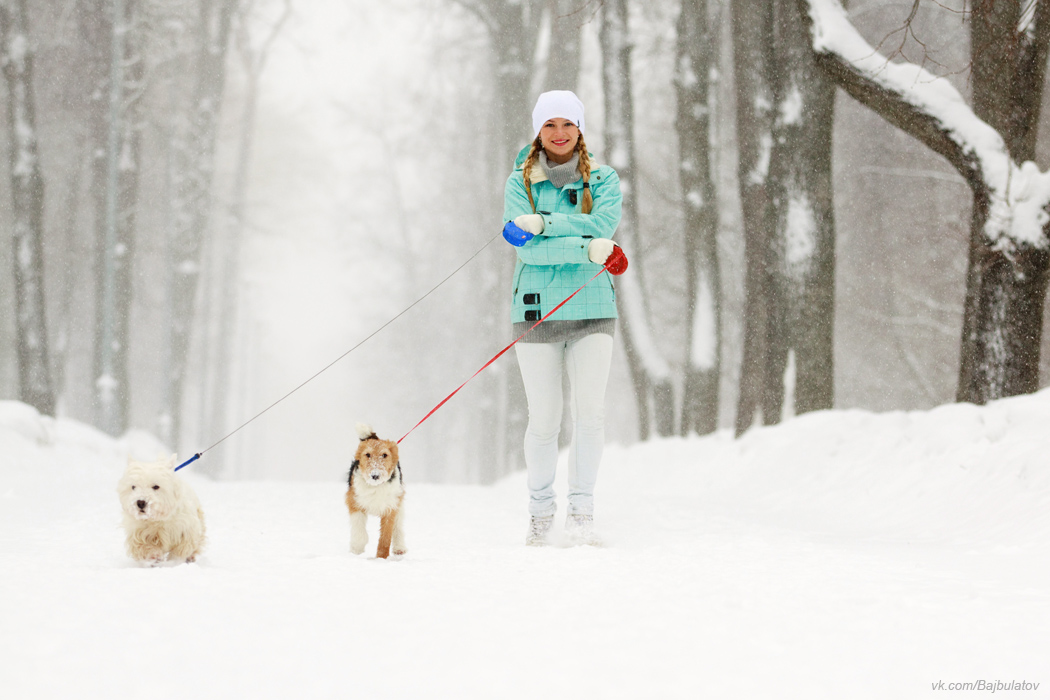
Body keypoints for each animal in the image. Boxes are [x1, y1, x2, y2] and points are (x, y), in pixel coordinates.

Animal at [346, 423, 407, 562]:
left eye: (384, 455)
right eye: (367, 454)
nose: (375, 475)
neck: (376, 487)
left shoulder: (390, 507)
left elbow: (385, 537)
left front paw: (381, 559)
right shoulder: (355, 501)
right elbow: (359, 530)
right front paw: (356, 549)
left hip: (399, 501)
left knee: (398, 526)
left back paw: (399, 548)